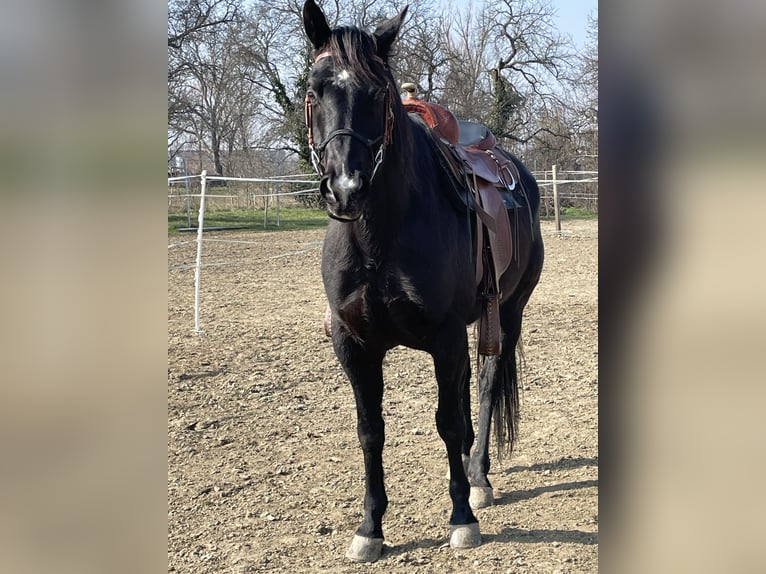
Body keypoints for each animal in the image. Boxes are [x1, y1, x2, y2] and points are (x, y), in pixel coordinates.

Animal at [304, 0, 544, 564]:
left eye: (378, 93)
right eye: (315, 88)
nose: (345, 189)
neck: (381, 235)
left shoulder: (445, 335)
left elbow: (448, 419)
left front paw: (461, 517)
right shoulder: (354, 344)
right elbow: (370, 430)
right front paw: (370, 527)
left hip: (508, 314)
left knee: (485, 385)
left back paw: (478, 477)